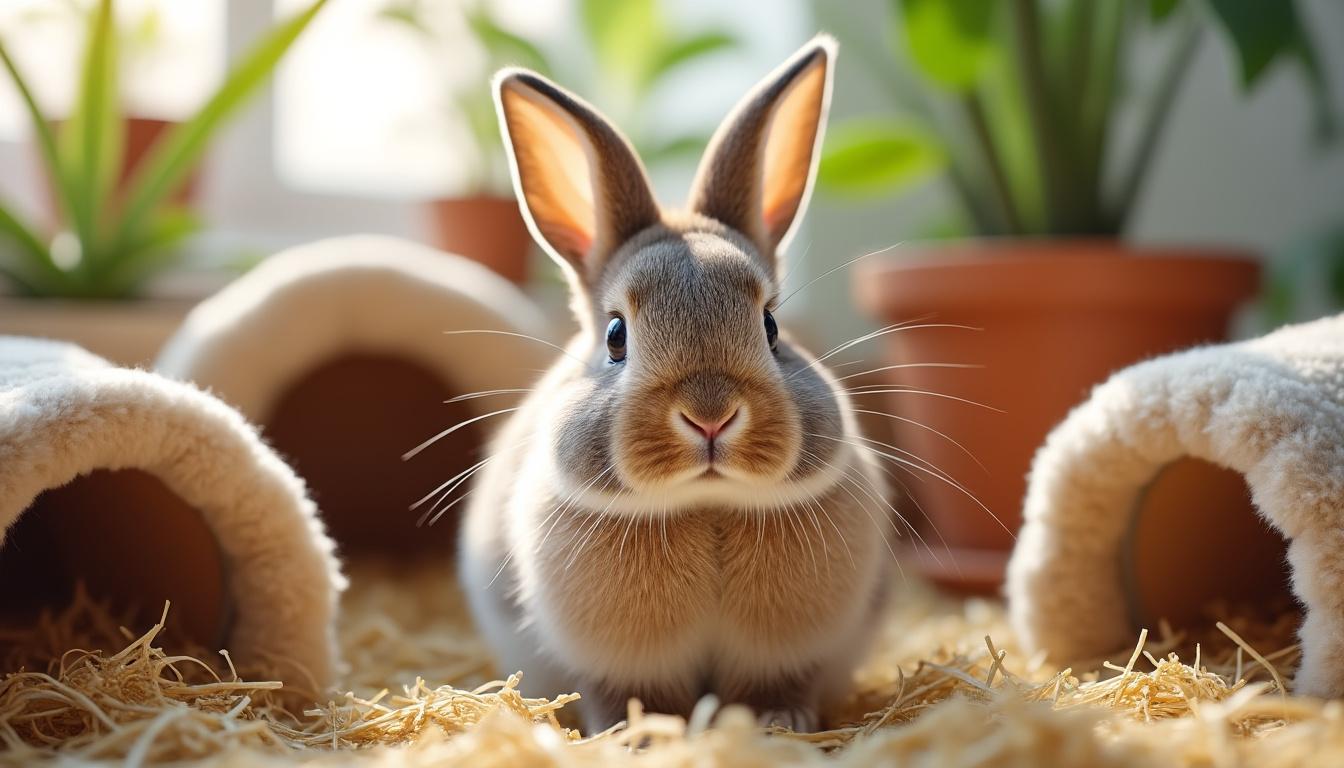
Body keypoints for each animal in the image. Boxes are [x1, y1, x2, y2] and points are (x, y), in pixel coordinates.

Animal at [458, 35, 893, 734]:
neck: (706, 505)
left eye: (771, 325)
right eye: (615, 336)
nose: (710, 415)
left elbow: (769, 686)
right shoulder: (622, 665)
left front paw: (776, 723)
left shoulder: (783, 653)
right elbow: (636, 695)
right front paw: (639, 735)